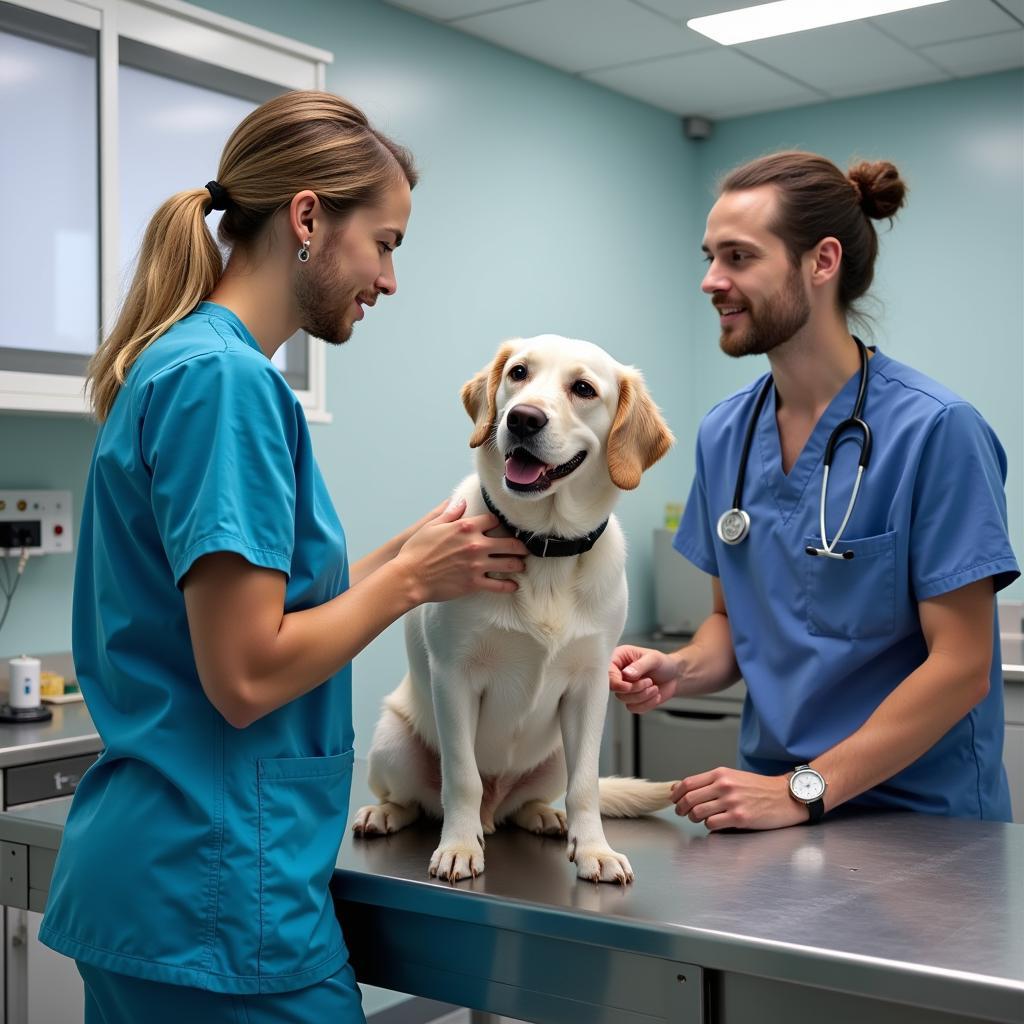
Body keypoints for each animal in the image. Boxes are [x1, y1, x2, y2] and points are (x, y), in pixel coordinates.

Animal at [356, 335, 675, 880]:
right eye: (519, 373)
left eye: (583, 388)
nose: (523, 419)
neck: (543, 546)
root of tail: (496, 808)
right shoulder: (454, 677)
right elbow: (462, 776)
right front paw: (459, 847)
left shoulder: (590, 687)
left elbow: (586, 788)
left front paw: (595, 850)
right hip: (393, 743)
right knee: (415, 800)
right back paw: (387, 814)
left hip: (556, 757)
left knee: (536, 800)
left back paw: (545, 816)